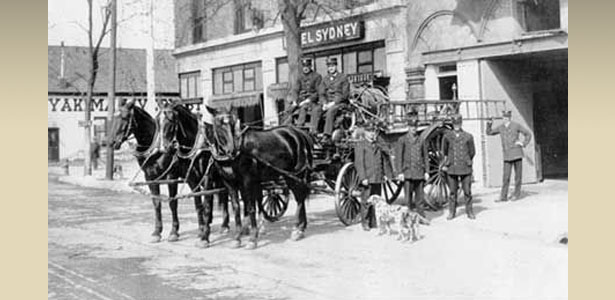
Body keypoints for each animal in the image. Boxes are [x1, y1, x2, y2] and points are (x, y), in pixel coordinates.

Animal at [110, 101, 229, 246]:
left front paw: (175, 232)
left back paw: (224, 225)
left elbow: (174, 203)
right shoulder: (152, 178)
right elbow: (158, 203)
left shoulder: (172, 177)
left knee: (223, 195)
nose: (111, 142)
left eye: (124, 117)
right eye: (113, 118)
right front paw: (157, 232)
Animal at [205, 104, 316, 250]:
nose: (232, 150)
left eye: (233, 123)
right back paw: (301, 228)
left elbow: (251, 207)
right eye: (218, 124)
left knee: (299, 198)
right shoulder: (230, 183)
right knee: (300, 198)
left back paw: (297, 229)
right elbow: (236, 208)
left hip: (295, 175)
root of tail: (299, 133)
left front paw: (252, 239)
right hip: (288, 176)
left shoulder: (248, 182)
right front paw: (237, 238)